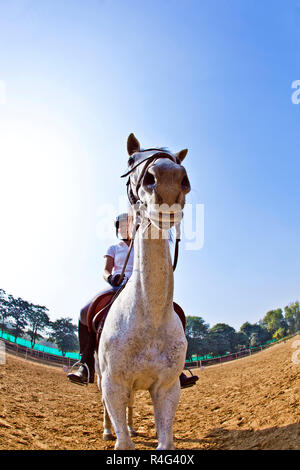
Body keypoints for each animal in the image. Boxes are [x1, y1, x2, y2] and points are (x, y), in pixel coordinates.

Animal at [95, 134, 191, 450]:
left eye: (177, 160)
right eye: (130, 159)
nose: (168, 180)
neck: (149, 317)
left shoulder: (167, 388)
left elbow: (165, 441)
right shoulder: (113, 383)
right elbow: (123, 442)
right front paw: (116, 434)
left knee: (131, 404)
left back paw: (132, 426)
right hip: (101, 378)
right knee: (107, 407)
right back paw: (108, 430)